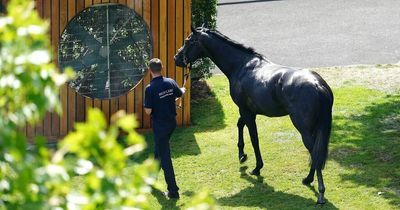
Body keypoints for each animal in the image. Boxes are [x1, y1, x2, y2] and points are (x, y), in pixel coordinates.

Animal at [173, 25, 332, 204]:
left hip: (303, 128)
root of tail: (318, 85)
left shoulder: (245, 111)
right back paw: (308, 179)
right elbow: (240, 125)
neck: (241, 66)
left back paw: (320, 192)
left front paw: (256, 167)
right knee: (315, 153)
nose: (176, 58)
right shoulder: (249, 111)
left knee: (314, 153)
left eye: (188, 41)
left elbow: (254, 138)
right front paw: (242, 155)